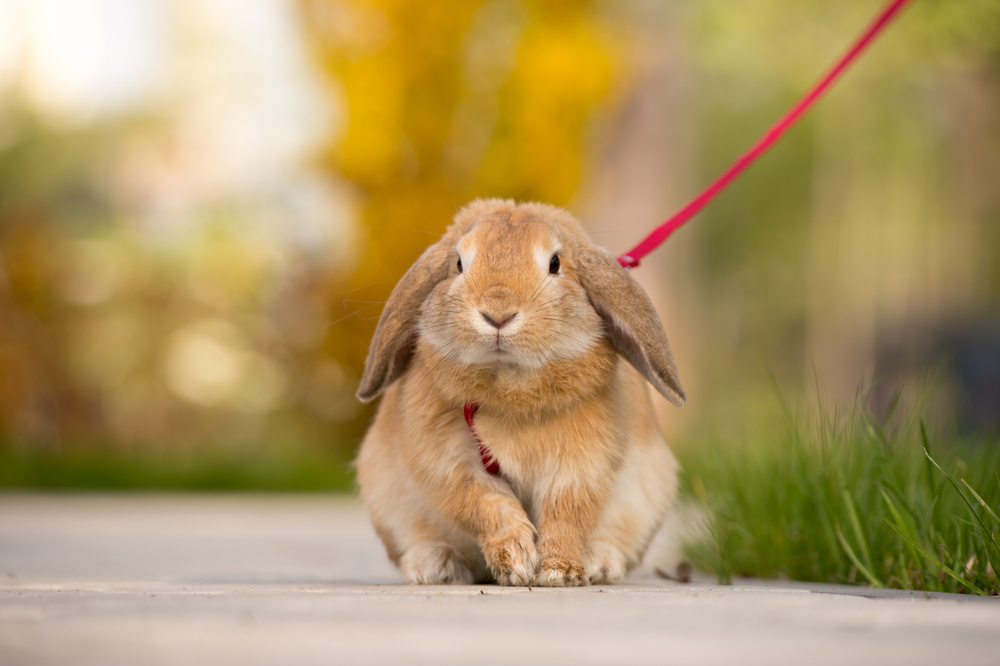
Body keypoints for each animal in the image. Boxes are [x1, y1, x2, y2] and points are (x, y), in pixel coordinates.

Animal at [354, 198, 688, 588]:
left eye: (555, 263)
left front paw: (560, 571)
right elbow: (487, 505)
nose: (498, 312)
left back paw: (599, 563)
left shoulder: (579, 466)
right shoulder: (453, 465)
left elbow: (566, 512)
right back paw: (436, 567)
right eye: (459, 263)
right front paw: (515, 561)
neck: (509, 387)